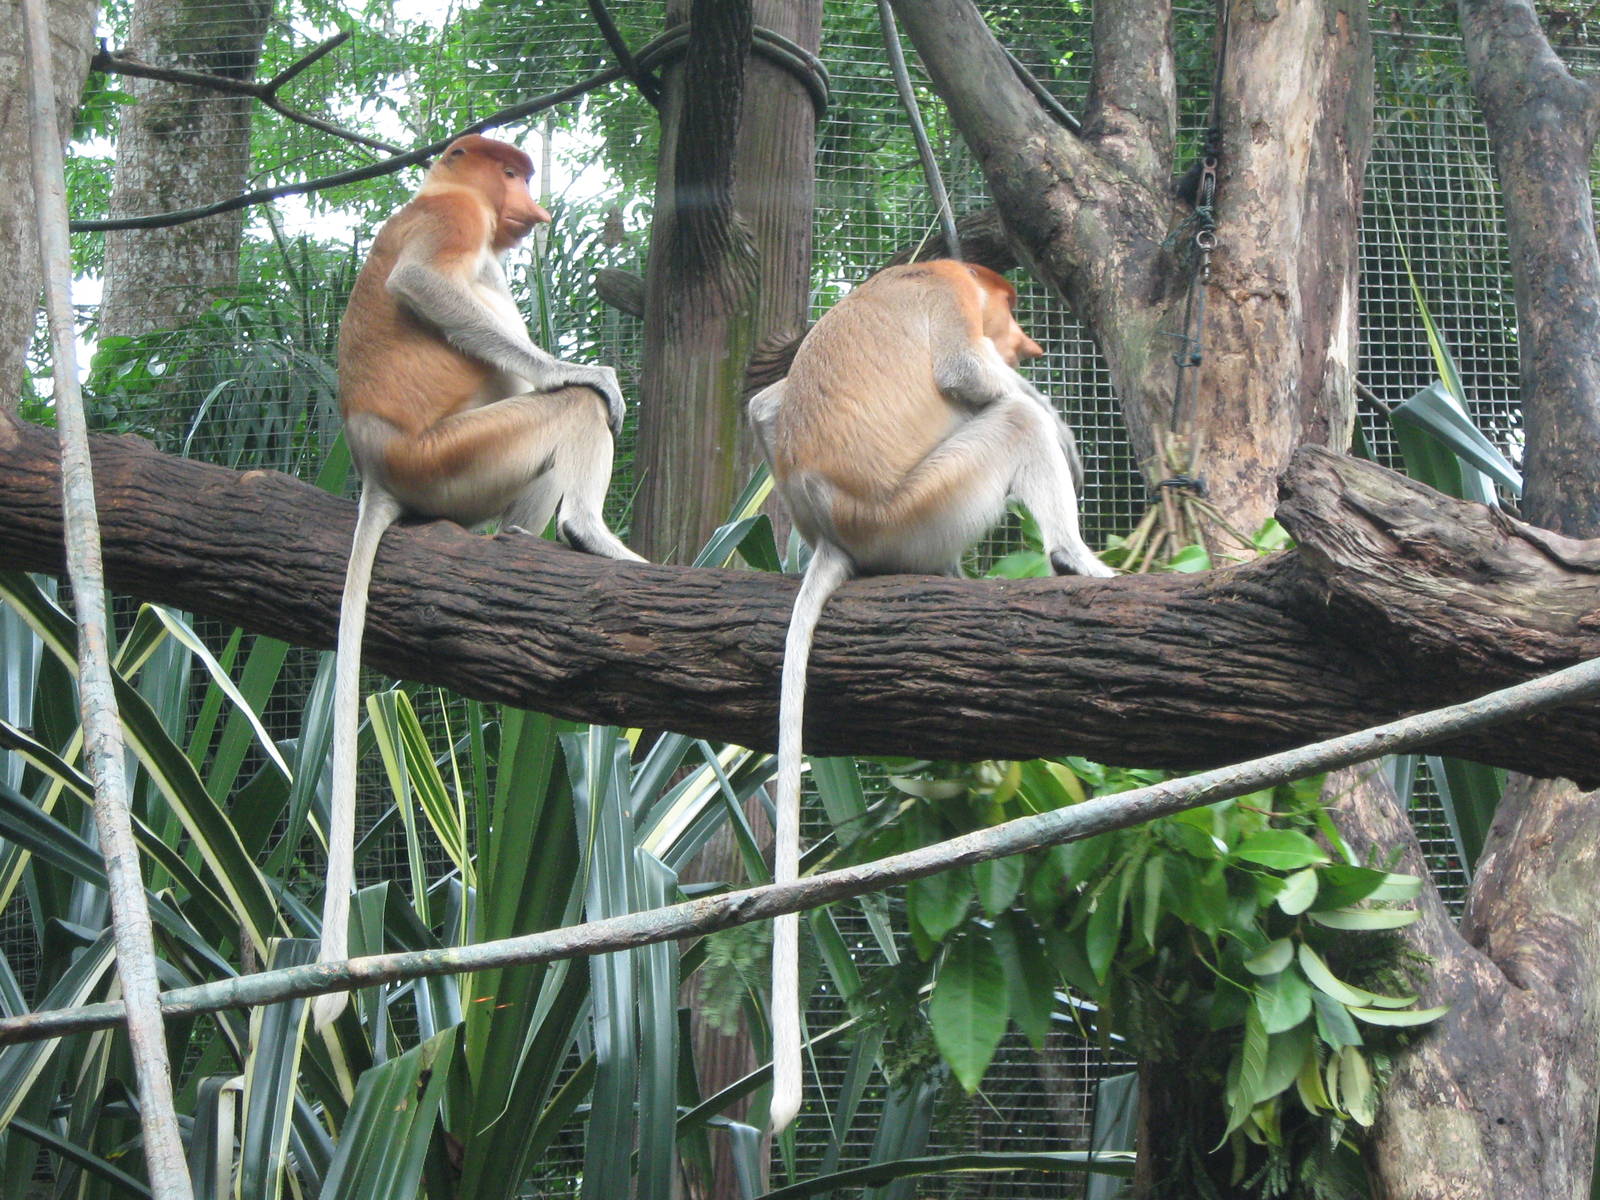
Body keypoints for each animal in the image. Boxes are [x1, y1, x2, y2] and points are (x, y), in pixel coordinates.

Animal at [314, 134, 643, 1030]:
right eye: (508, 171)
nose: (534, 203)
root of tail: (376, 466)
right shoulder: (453, 216)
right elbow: (422, 284)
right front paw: (588, 371)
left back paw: (522, 542)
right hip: (452, 453)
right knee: (563, 409)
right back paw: (589, 533)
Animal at [747, 260, 1115, 1130]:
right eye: (1008, 309)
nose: (1029, 342)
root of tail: (840, 533)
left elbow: (764, 404)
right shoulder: (949, 300)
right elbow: (969, 380)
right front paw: (1057, 423)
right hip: (921, 507)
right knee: (1011, 421)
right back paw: (1075, 556)